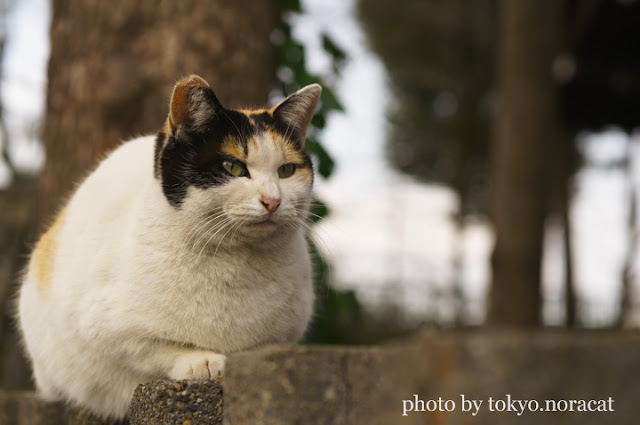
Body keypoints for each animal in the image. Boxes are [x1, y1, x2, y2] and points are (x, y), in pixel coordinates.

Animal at [16, 75, 320, 418]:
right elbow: (156, 348)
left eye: (286, 170)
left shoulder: (285, 334)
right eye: (232, 167)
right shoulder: (102, 328)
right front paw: (202, 361)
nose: (273, 200)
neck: (235, 262)